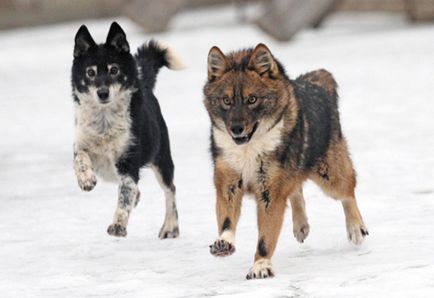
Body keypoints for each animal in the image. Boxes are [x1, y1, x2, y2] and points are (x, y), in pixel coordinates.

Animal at [71, 22, 181, 239]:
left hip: (161, 159)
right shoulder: (82, 145)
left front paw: (118, 226)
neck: (105, 123)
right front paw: (86, 179)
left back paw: (170, 227)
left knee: (170, 189)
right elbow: (80, 158)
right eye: (90, 72)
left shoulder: (128, 162)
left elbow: (125, 196)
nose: (103, 93)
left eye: (114, 70)